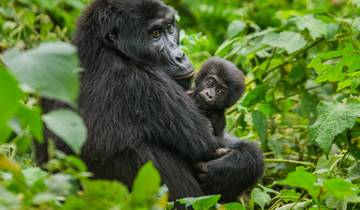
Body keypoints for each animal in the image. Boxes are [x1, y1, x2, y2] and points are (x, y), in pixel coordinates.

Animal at [36, 0, 262, 201]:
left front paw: (236, 166)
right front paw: (238, 165)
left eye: (170, 28)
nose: (180, 56)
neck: (104, 48)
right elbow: (209, 145)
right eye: (155, 34)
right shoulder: (145, 83)